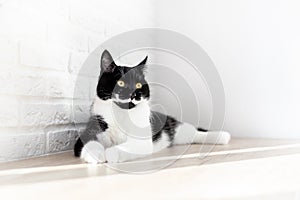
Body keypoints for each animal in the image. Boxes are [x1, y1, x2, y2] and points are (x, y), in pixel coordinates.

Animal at [73, 49, 230, 162]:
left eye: (138, 85)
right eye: (120, 82)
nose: (134, 95)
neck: (121, 113)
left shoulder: (142, 139)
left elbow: (126, 147)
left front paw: (111, 153)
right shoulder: (95, 123)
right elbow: (87, 142)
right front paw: (97, 154)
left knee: (195, 132)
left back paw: (223, 136)